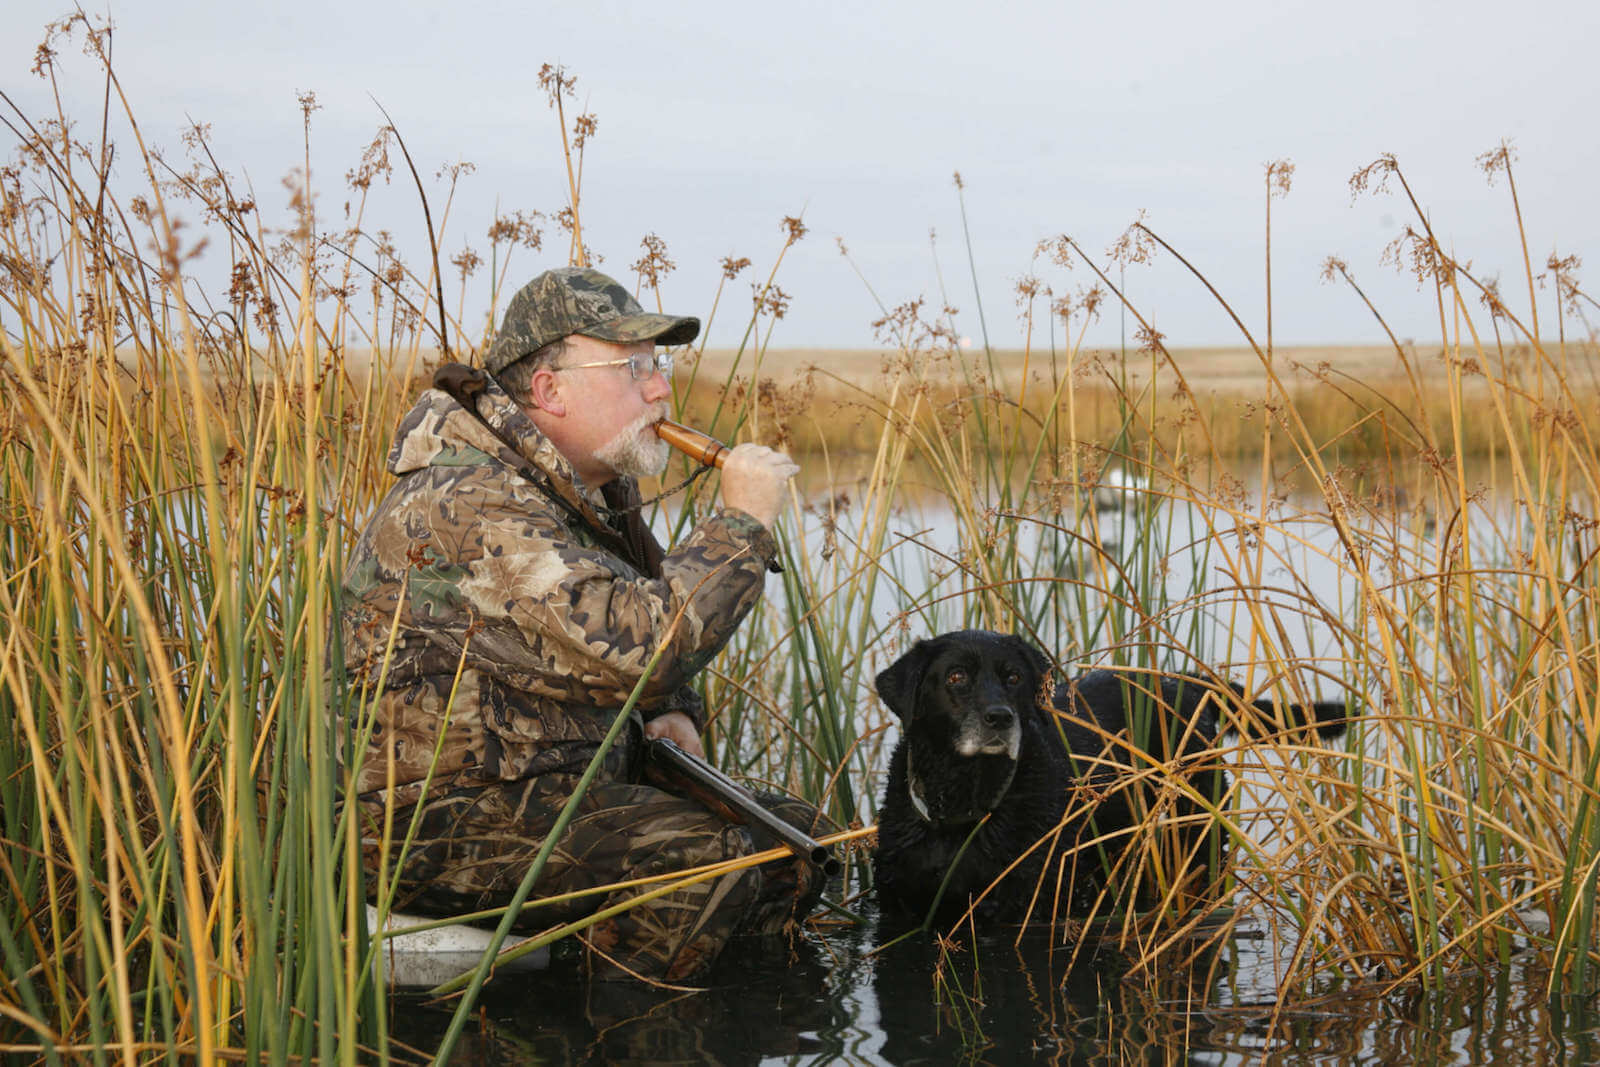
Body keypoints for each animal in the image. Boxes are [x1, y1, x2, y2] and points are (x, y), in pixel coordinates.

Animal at [876, 633, 1350, 927]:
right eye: (955, 677)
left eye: (1014, 677)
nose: (1000, 718)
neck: (964, 808)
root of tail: (1187, 682)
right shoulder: (898, 906)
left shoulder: (1033, 904)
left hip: (1199, 835)